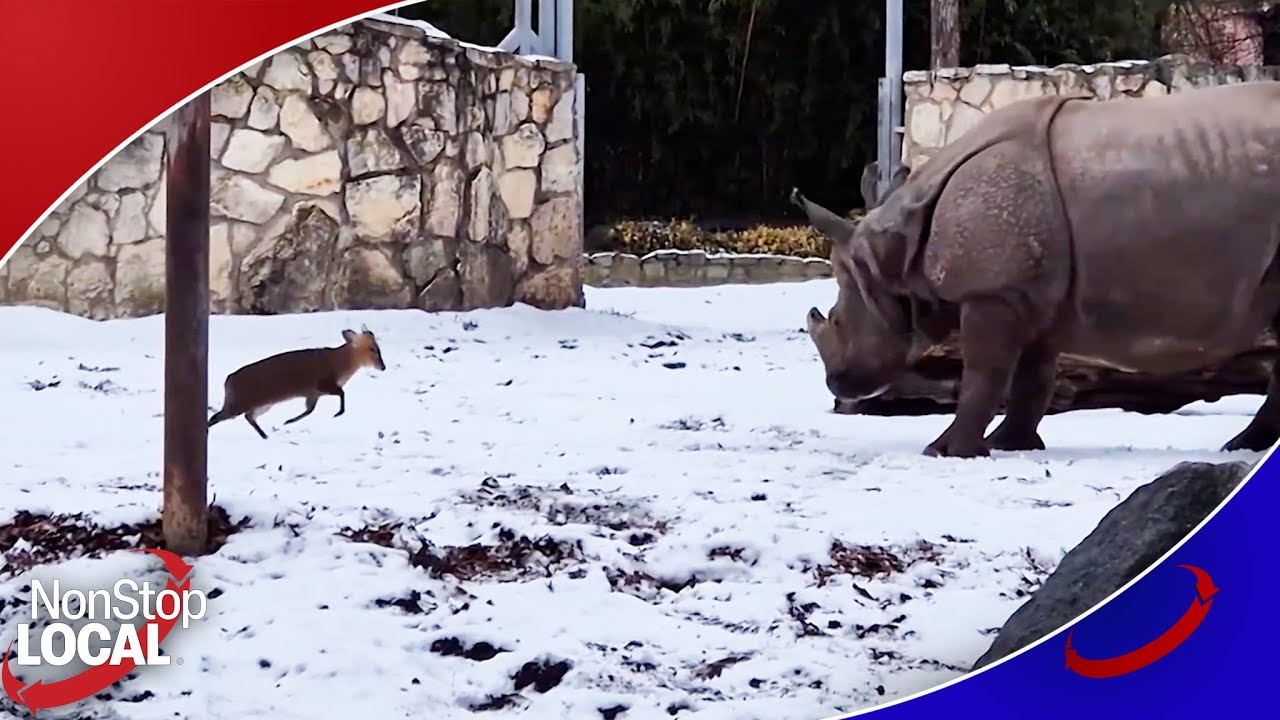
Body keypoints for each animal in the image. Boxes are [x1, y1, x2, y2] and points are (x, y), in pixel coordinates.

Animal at [207, 326, 387, 440]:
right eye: (372, 349)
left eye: (377, 348)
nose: (383, 367)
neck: (340, 364)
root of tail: (228, 381)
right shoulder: (322, 384)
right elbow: (341, 393)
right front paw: (338, 413)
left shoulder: (314, 393)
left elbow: (309, 410)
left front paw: (288, 421)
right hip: (239, 403)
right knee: (216, 416)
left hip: (261, 405)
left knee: (248, 417)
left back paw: (265, 435)